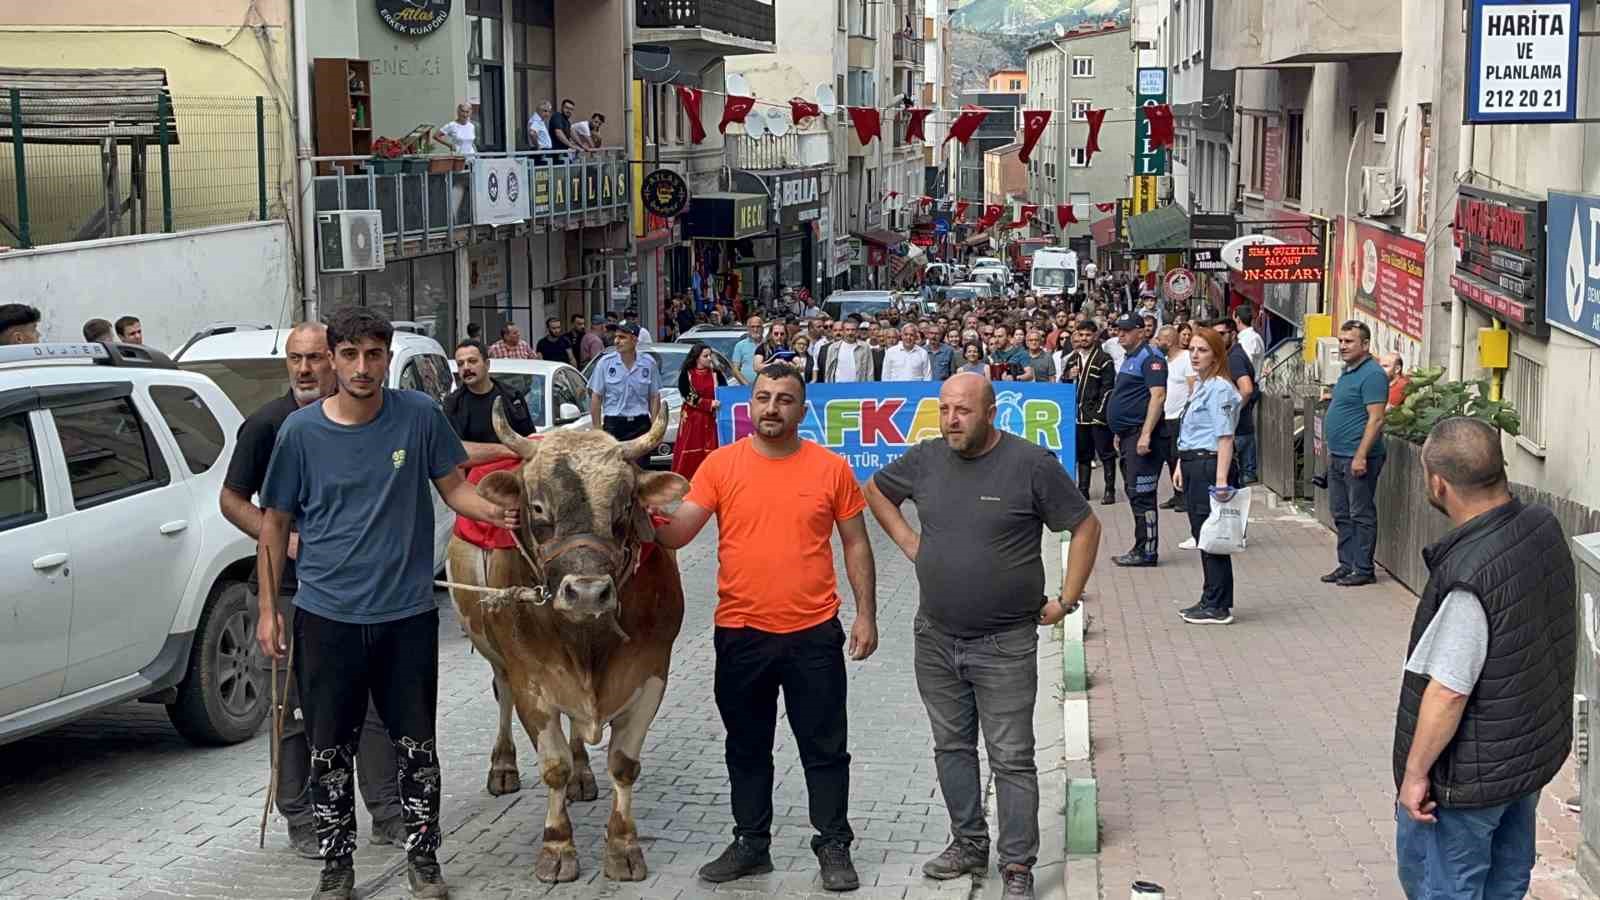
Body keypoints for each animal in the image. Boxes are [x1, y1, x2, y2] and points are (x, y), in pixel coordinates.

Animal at [444, 406, 688, 883]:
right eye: (538, 507)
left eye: (625, 506)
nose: (588, 593)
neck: (587, 644)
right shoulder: (532, 682)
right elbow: (552, 765)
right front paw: (557, 848)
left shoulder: (650, 673)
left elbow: (623, 764)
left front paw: (623, 847)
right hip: (497, 658)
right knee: (502, 696)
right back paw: (503, 766)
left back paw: (582, 775)